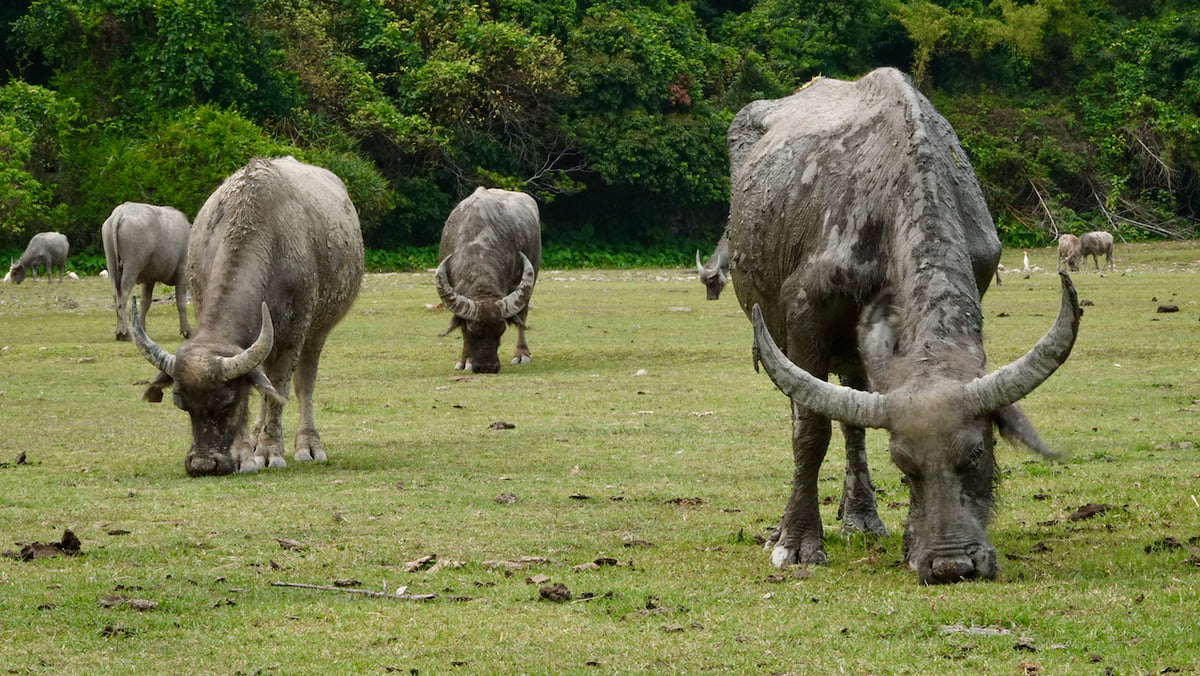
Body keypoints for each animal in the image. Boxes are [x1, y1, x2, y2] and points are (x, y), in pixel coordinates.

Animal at [102, 200, 192, 341]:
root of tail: (120, 212)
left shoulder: (149, 279)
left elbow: (145, 303)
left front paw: (141, 329)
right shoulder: (181, 272)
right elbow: (181, 302)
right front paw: (186, 330)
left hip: (111, 263)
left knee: (115, 294)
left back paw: (119, 331)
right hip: (132, 266)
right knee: (123, 293)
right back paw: (124, 333)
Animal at [132, 157, 362, 475]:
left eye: (227, 403)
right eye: (182, 404)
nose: (203, 464)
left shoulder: (293, 336)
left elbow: (278, 391)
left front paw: (270, 450)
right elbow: (259, 387)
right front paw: (243, 453)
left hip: (318, 331)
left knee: (302, 383)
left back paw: (307, 444)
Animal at [436, 187, 540, 372]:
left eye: (501, 330)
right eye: (472, 331)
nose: (488, 367)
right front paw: (465, 360)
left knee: (523, 315)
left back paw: (521, 354)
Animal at [724, 70, 1084, 588]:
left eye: (977, 454)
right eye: (904, 464)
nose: (951, 564)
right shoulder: (804, 315)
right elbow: (809, 430)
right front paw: (796, 541)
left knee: (853, 415)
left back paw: (861, 517)